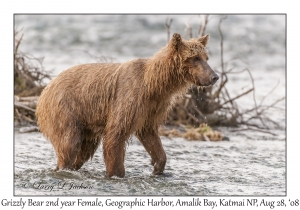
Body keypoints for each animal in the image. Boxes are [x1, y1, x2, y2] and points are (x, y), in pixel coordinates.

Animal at [35, 32, 218, 177]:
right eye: (195, 58)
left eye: (206, 58)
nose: (214, 76)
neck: (154, 85)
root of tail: (44, 90)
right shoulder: (130, 98)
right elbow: (115, 135)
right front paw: (116, 173)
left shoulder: (152, 108)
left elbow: (150, 136)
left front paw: (157, 167)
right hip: (65, 109)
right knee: (69, 144)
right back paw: (63, 167)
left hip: (86, 124)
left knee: (84, 150)